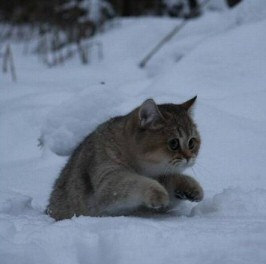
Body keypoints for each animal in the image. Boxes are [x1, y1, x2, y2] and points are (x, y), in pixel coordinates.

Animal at [46, 97, 204, 221]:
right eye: (173, 143)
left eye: (192, 142)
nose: (189, 157)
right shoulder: (107, 181)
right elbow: (135, 181)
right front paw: (157, 193)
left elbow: (173, 178)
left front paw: (190, 187)